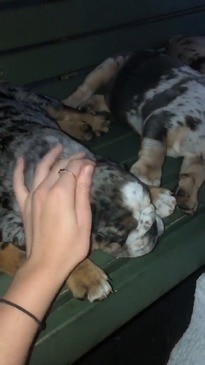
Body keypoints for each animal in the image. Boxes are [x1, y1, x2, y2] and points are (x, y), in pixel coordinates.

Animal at [0, 82, 175, 302]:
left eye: (149, 204)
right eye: (118, 236)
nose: (152, 228)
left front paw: (158, 196)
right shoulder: (11, 222)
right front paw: (88, 277)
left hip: (41, 101)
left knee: (65, 110)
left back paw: (91, 123)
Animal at [64, 50, 205, 215]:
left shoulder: (196, 157)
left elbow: (194, 174)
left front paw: (187, 198)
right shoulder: (160, 119)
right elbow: (156, 151)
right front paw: (147, 176)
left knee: (101, 99)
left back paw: (89, 108)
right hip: (107, 67)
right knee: (83, 90)